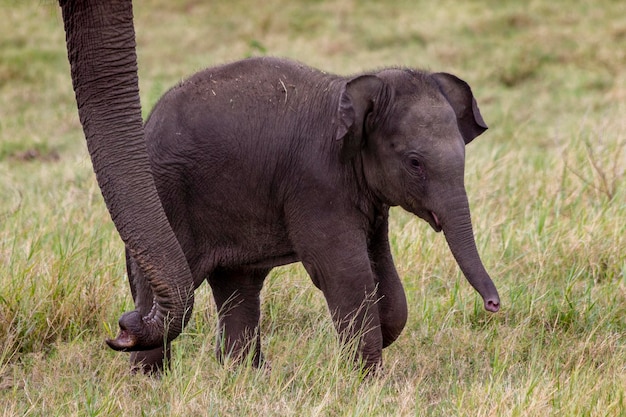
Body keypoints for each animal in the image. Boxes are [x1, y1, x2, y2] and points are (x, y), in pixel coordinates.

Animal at [122, 57, 500, 372]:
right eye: (415, 163)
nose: (493, 305)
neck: (352, 93)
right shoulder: (317, 182)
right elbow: (345, 271)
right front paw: (367, 380)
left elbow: (384, 274)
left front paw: (377, 340)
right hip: (168, 196)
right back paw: (150, 378)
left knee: (238, 283)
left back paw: (243, 374)